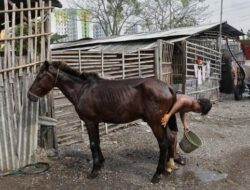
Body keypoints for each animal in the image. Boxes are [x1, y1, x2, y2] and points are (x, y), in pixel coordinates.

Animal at [27, 60, 176, 183]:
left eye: (39, 77)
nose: (30, 96)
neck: (82, 89)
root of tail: (167, 87)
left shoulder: (90, 121)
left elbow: (93, 144)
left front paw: (94, 171)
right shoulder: (96, 122)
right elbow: (97, 142)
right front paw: (101, 164)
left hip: (155, 123)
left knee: (163, 143)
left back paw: (157, 175)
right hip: (163, 122)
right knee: (171, 138)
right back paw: (168, 168)